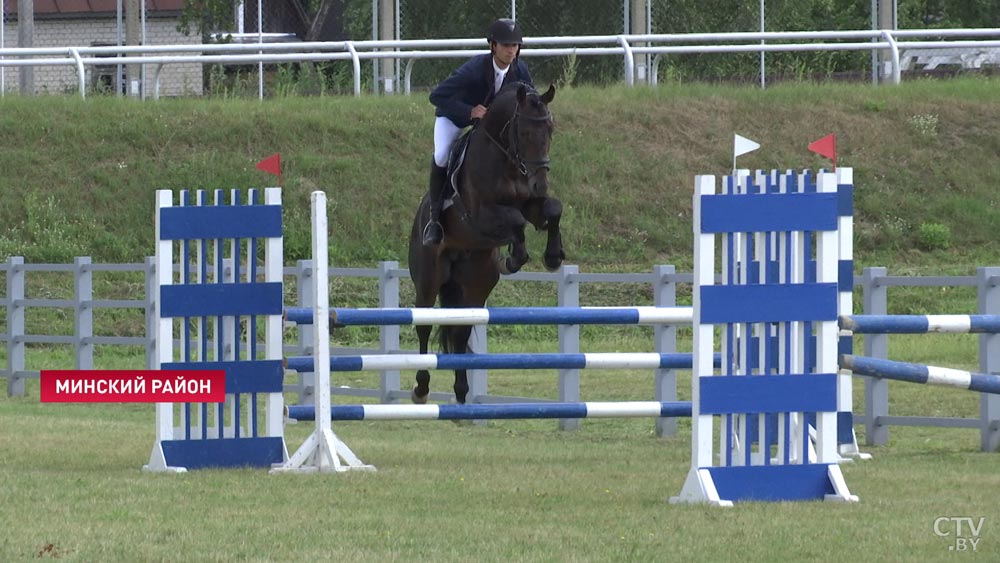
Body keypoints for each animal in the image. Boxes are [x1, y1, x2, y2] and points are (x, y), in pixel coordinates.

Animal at [406, 81, 564, 406]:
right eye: (524, 133)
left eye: (551, 129)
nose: (540, 183)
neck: (507, 158)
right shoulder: (481, 214)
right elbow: (515, 220)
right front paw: (514, 257)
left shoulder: (532, 203)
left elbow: (552, 209)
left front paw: (553, 257)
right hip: (428, 278)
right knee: (424, 325)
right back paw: (421, 388)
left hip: (475, 283)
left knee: (460, 332)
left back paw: (461, 392)